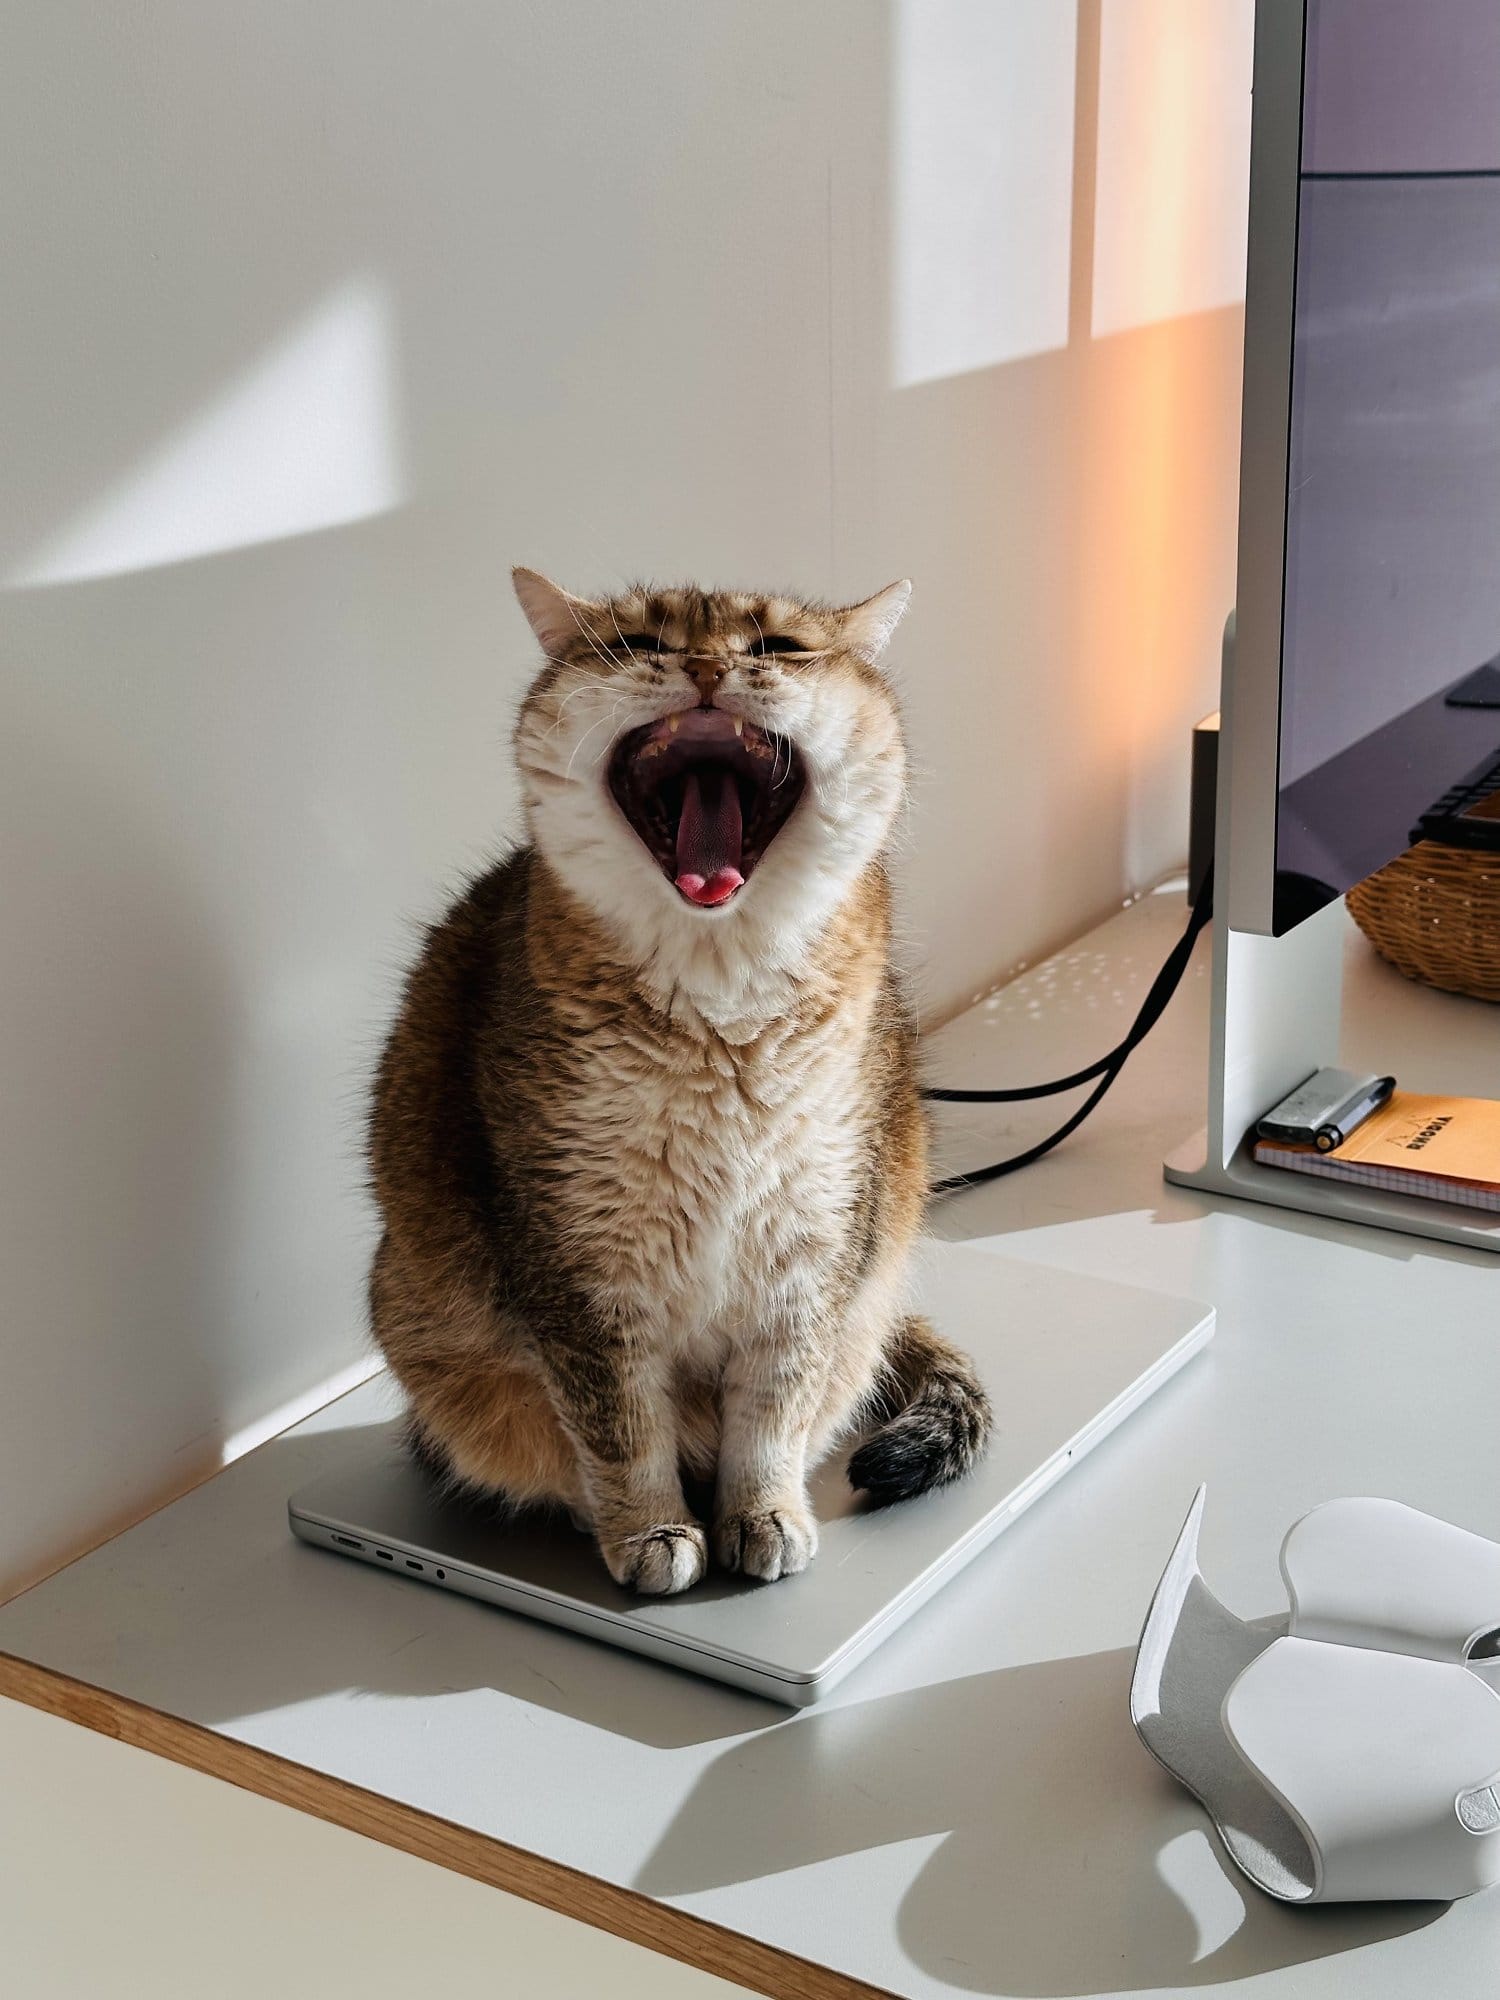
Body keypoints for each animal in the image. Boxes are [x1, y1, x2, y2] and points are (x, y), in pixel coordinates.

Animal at [368, 568, 992, 1592]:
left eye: (779, 647)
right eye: (637, 643)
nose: (704, 666)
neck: (721, 1016)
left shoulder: (812, 1244)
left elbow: (774, 1409)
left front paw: (764, 1513)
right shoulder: (576, 1266)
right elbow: (621, 1427)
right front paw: (651, 1531)